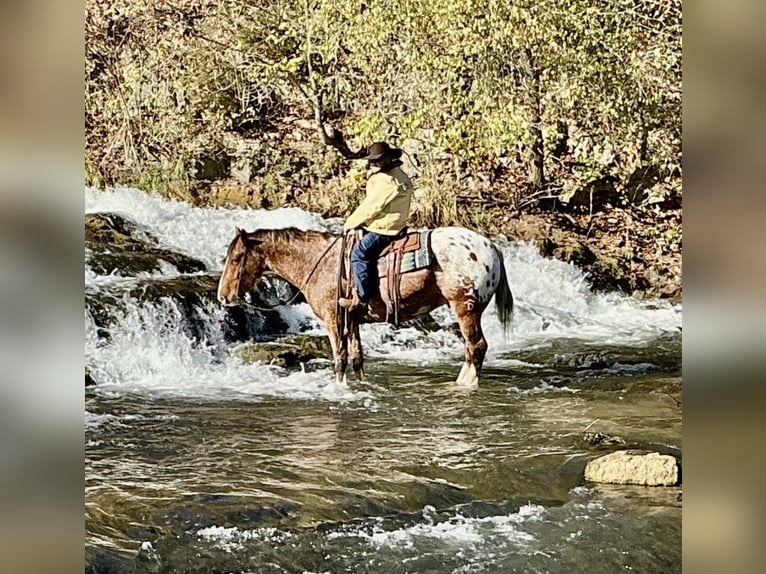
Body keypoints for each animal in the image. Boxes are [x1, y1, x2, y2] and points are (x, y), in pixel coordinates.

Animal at [218, 227, 516, 390]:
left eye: (236, 258)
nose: (223, 297)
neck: (319, 263)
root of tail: (491, 247)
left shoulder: (333, 320)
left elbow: (339, 357)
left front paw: (340, 388)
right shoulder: (352, 321)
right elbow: (357, 357)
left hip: (465, 307)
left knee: (476, 346)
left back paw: (464, 384)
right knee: (471, 348)